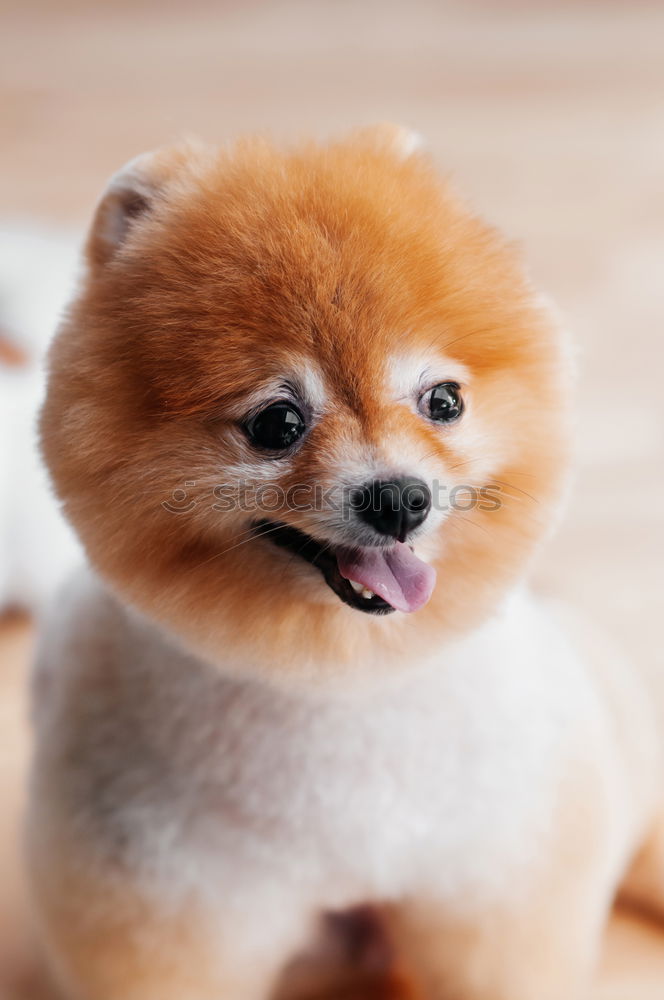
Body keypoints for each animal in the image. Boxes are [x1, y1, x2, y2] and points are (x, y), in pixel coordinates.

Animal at [26, 127, 664, 1000]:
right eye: (277, 422)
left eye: (443, 401)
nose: (399, 499)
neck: (342, 683)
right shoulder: (167, 908)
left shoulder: (502, 878)